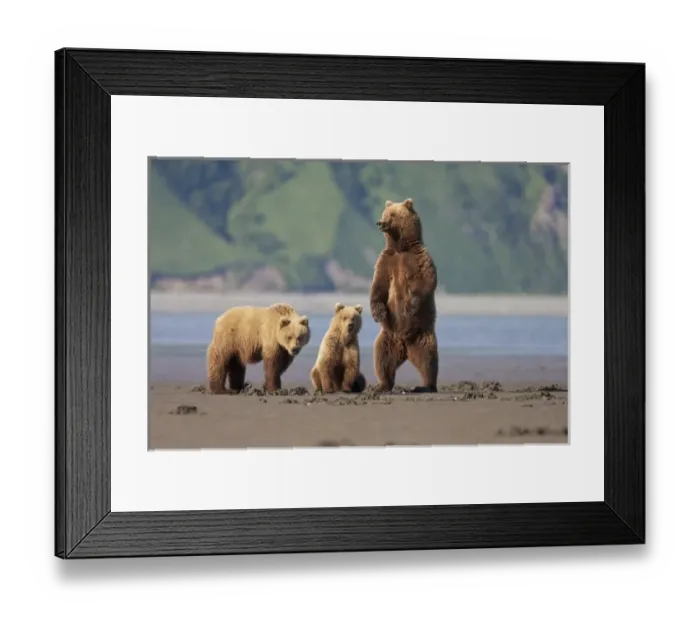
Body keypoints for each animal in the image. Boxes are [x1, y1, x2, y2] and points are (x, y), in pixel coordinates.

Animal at [370, 198, 439, 393]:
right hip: (387, 338)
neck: (400, 248)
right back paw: (381, 385)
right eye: (385, 213)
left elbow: (426, 281)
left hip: (423, 335)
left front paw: (411, 305)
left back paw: (426, 386)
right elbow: (379, 286)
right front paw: (378, 313)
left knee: (428, 360)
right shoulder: (386, 261)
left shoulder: (418, 259)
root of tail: (406, 349)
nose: (379, 222)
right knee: (382, 360)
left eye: (392, 215)